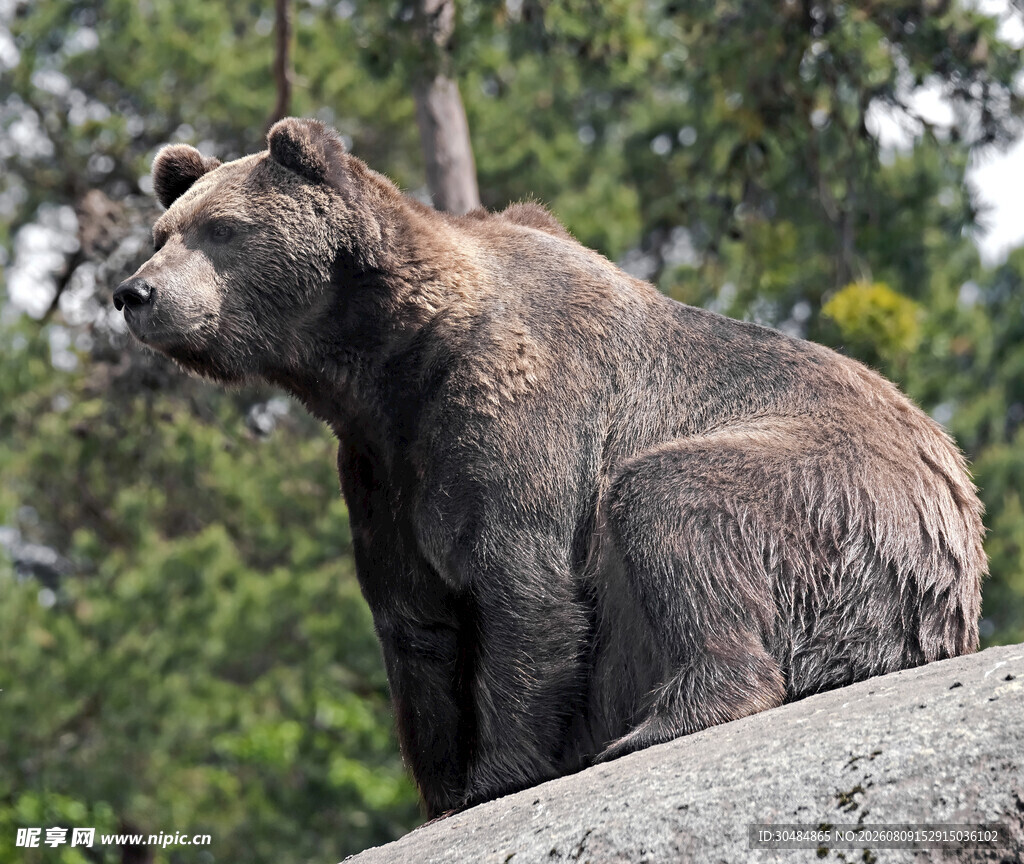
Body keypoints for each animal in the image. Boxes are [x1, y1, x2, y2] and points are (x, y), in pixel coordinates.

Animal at [113, 117, 986, 818]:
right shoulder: (381, 471)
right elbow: (418, 633)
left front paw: (498, 776)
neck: (389, 362)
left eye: (222, 229)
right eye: (163, 231)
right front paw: (442, 796)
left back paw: (661, 720)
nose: (134, 292)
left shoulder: (519, 418)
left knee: (668, 499)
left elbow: (523, 590)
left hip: (837, 500)